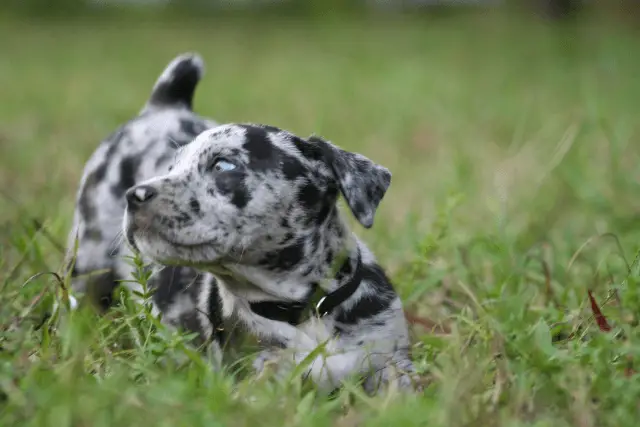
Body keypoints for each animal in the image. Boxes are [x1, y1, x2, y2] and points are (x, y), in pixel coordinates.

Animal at [122, 123, 418, 394]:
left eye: (223, 166)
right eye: (171, 168)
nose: (134, 194)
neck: (306, 312)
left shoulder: (390, 361)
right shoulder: (258, 375)